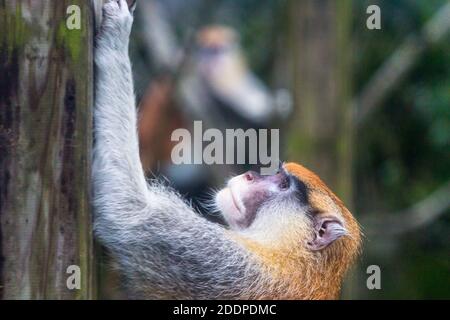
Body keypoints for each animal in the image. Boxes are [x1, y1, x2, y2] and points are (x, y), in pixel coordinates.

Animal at [93, 0, 360, 300]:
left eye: (283, 185)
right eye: (276, 172)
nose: (250, 175)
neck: (297, 256)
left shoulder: (229, 264)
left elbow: (132, 213)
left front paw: (117, 34)